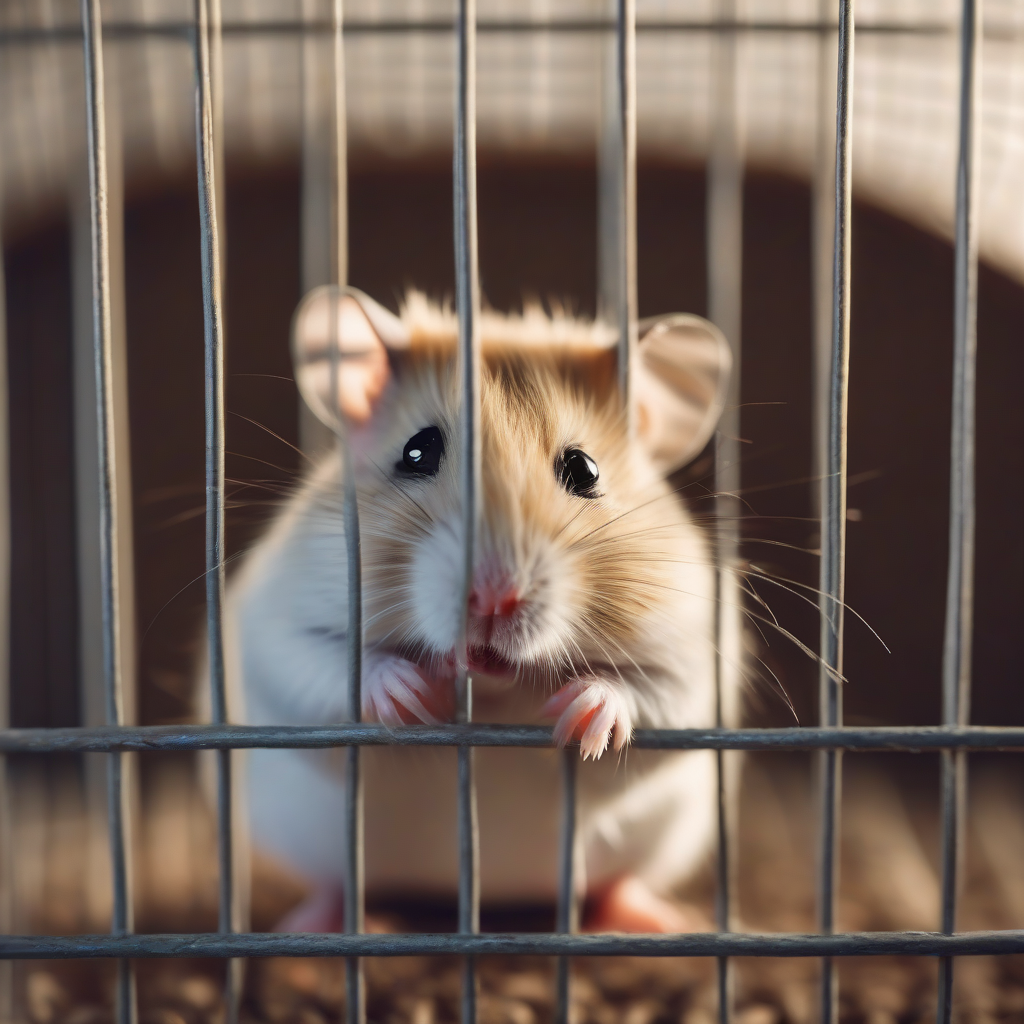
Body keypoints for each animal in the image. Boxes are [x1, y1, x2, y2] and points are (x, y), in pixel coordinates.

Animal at [224, 286, 736, 932]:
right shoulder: (279, 624)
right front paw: (414, 696)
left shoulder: (696, 649)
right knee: (337, 887)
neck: (494, 687)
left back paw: (661, 920)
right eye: (417, 451)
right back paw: (316, 925)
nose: (495, 596)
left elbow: (655, 692)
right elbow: (324, 665)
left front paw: (579, 713)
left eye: (585, 469)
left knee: (615, 886)